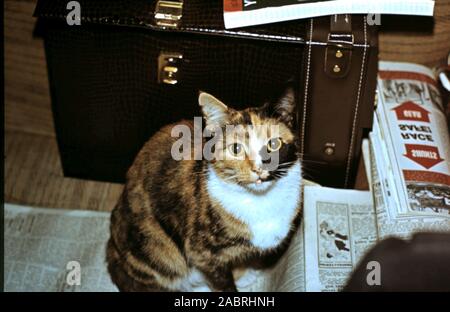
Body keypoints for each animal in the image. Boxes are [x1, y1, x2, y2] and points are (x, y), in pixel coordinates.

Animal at [106, 86, 302, 292]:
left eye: (274, 144)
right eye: (235, 149)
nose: (259, 169)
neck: (259, 200)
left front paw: (243, 272)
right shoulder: (202, 253)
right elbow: (222, 283)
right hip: (156, 249)